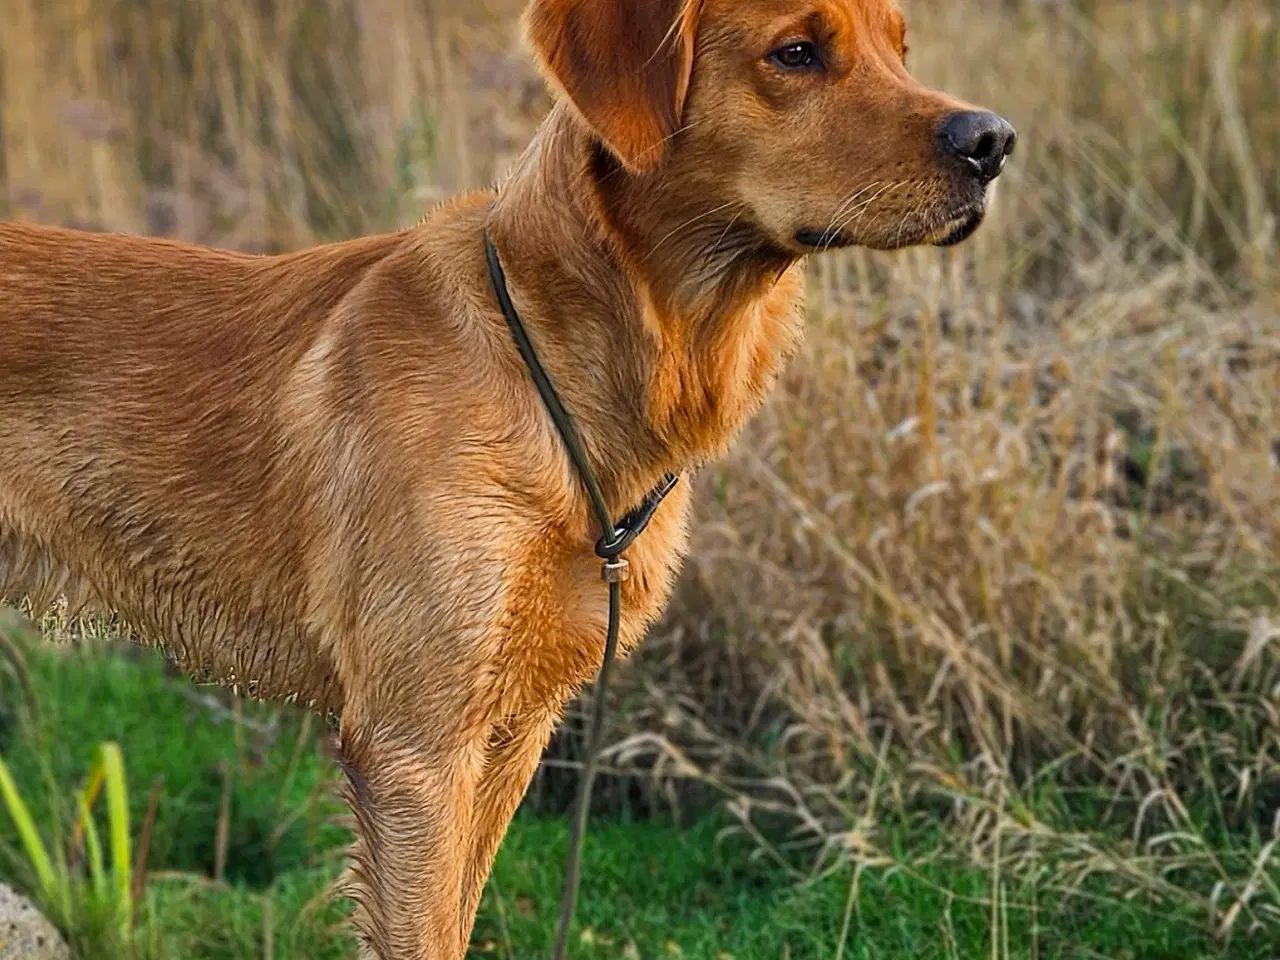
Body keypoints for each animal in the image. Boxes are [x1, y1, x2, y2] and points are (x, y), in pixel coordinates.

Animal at [2, 0, 1018, 957]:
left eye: (901, 48)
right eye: (797, 52)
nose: (993, 141)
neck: (560, 362)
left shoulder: (513, 731)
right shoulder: (414, 749)